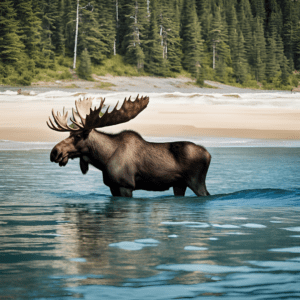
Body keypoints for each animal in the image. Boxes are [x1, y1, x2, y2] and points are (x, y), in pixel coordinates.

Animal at [47, 96, 211, 198]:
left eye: (78, 136)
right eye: (69, 133)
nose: (55, 152)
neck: (104, 159)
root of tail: (209, 155)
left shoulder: (125, 185)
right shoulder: (112, 187)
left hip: (196, 180)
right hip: (179, 184)